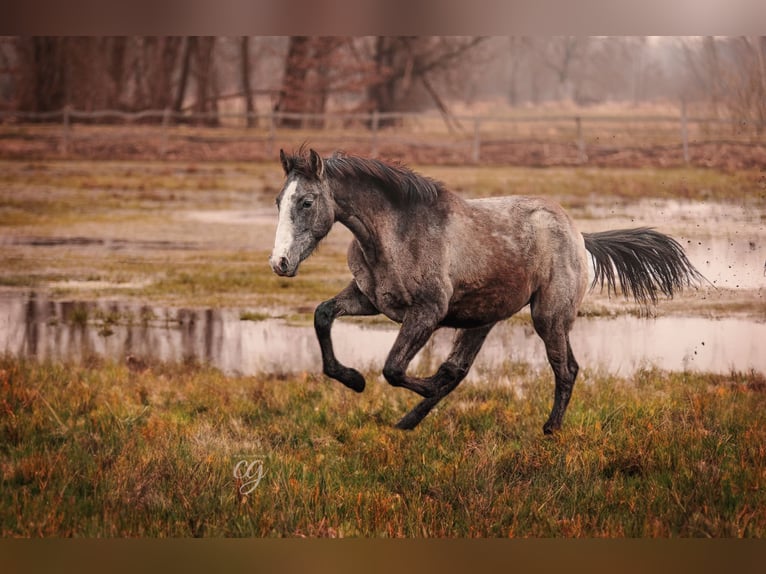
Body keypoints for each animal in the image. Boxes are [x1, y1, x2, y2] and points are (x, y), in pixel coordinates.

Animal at [268, 148, 704, 436]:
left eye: (306, 202)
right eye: (278, 201)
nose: (280, 263)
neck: (395, 233)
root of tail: (580, 237)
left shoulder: (426, 312)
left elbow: (394, 369)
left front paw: (369, 381)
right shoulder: (369, 300)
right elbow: (323, 315)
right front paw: (353, 380)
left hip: (548, 317)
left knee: (565, 369)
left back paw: (550, 430)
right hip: (483, 319)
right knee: (459, 369)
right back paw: (407, 423)